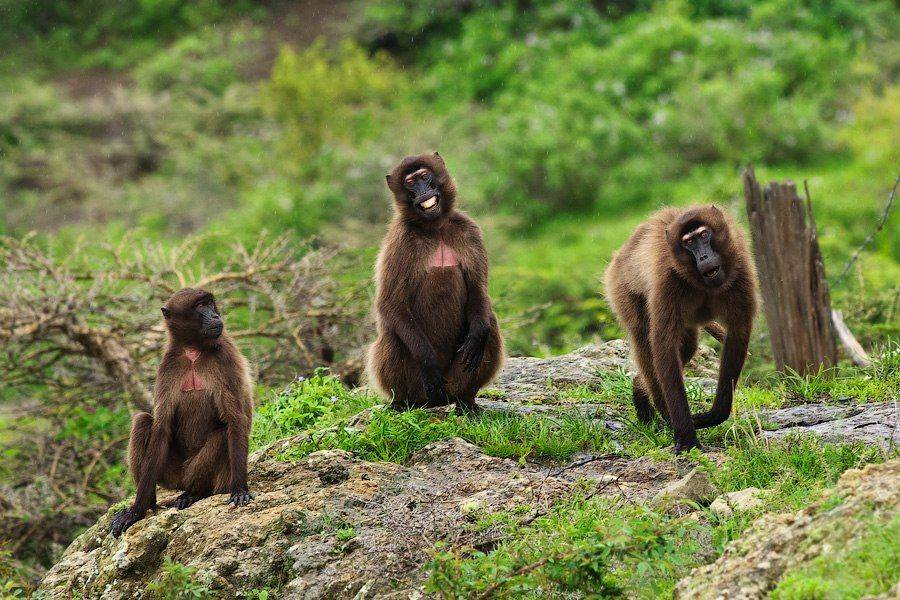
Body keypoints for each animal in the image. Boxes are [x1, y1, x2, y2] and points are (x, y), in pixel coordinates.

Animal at [110, 288, 254, 537]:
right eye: (200, 306)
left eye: (210, 304)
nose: (216, 316)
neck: (193, 351)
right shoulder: (168, 365)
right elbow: (161, 427)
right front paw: (136, 511)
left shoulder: (224, 357)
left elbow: (235, 419)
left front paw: (239, 489)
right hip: (172, 475)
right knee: (143, 421)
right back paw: (149, 504)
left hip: (209, 476)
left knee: (221, 433)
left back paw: (195, 493)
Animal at [366, 152, 504, 414]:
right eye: (410, 183)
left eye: (424, 176)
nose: (422, 192)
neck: (435, 228)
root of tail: (437, 401)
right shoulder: (401, 241)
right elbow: (390, 304)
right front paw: (428, 360)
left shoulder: (469, 231)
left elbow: (477, 291)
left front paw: (477, 335)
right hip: (422, 387)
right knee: (393, 335)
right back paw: (401, 402)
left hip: (453, 380)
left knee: (489, 325)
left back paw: (467, 401)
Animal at [604, 205, 757, 453]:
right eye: (689, 242)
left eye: (704, 235)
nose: (704, 257)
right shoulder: (668, 281)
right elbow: (663, 347)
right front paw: (686, 437)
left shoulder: (740, 269)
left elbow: (738, 334)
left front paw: (714, 415)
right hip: (622, 289)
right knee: (646, 344)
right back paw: (654, 407)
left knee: (686, 348)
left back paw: (640, 389)